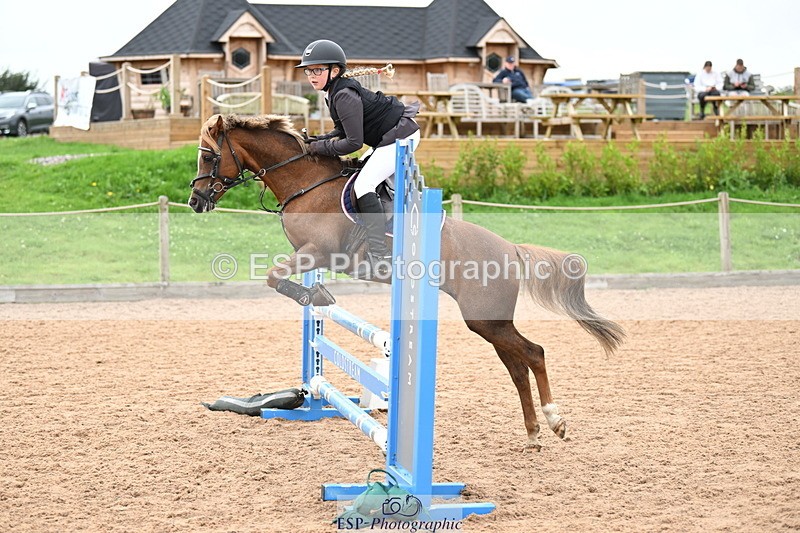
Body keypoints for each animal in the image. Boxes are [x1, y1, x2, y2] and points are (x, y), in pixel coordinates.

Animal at [188, 113, 625, 451]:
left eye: (208, 155)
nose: (195, 201)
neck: (305, 181)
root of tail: (510, 248)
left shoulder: (318, 252)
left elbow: (274, 276)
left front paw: (316, 294)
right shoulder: (310, 253)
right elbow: (281, 280)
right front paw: (317, 294)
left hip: (486, 320)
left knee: (534, 354)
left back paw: (555, 422)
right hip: (491, 323)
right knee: (518, 368)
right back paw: (533, 434)